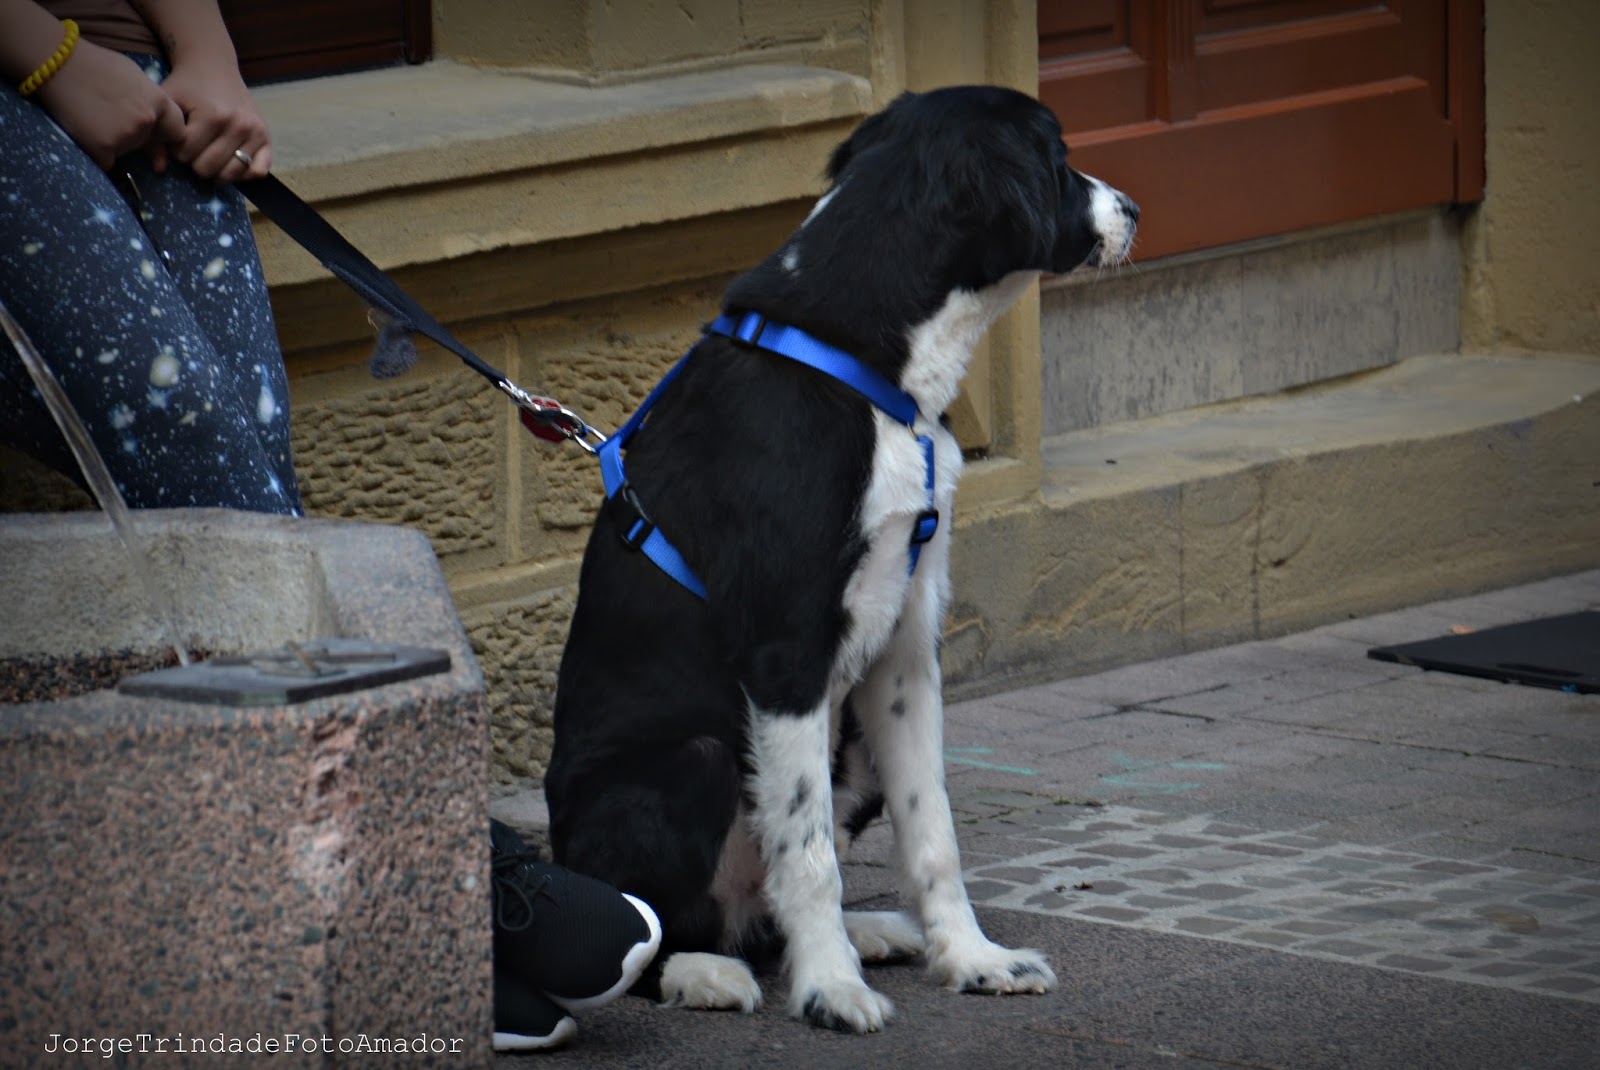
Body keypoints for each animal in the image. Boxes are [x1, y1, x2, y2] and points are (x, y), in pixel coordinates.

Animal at [544, 85, 1139, 1033]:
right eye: (1060, 158)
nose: (1133, 211)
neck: (866, 367)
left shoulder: (904, 652)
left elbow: (933, 831)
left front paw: (972, 960)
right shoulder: (786, 650)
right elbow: (808, 848)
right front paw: (829, 990)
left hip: (849, 750)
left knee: (760, 913)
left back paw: (867, 935)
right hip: (693, 762)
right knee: (655, 931)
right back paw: (709, 973)